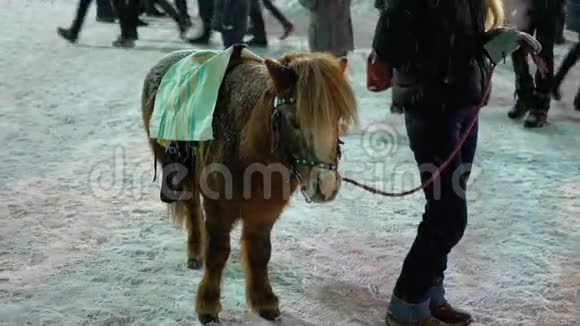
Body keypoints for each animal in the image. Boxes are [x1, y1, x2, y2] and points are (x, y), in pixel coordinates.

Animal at [140, 47, 358, 324]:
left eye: (336, 117)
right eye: (294, 120)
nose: (325, 185)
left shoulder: (265, 211)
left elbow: (260, 253)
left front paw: (264, 301)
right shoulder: (219, 207)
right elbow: (217, 252)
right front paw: (208, 306)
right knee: (192, 208)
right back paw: (195, 252)